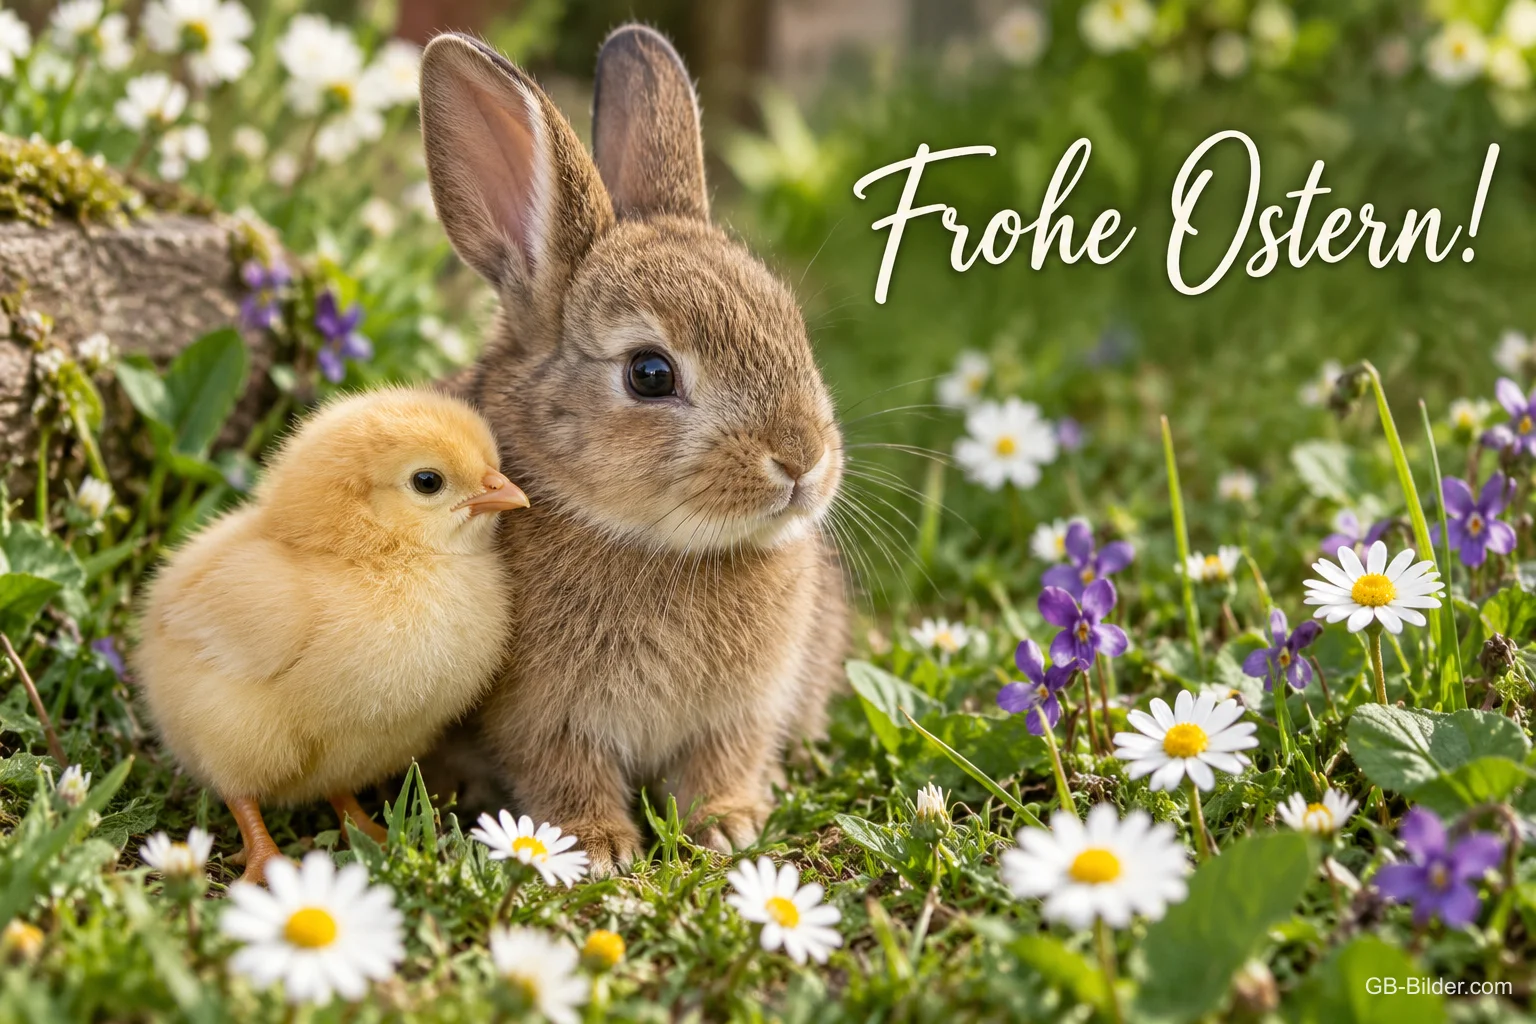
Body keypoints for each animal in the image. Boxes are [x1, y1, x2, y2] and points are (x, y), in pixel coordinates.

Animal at [418, 25, 848, 874]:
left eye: (792, 327)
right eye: (650, 374)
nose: (801, 460)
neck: (661, 545)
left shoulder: (742, 711)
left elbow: (725, 762)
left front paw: (728, 826)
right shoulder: (544, 718)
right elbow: (563, 769)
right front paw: (596, 845)